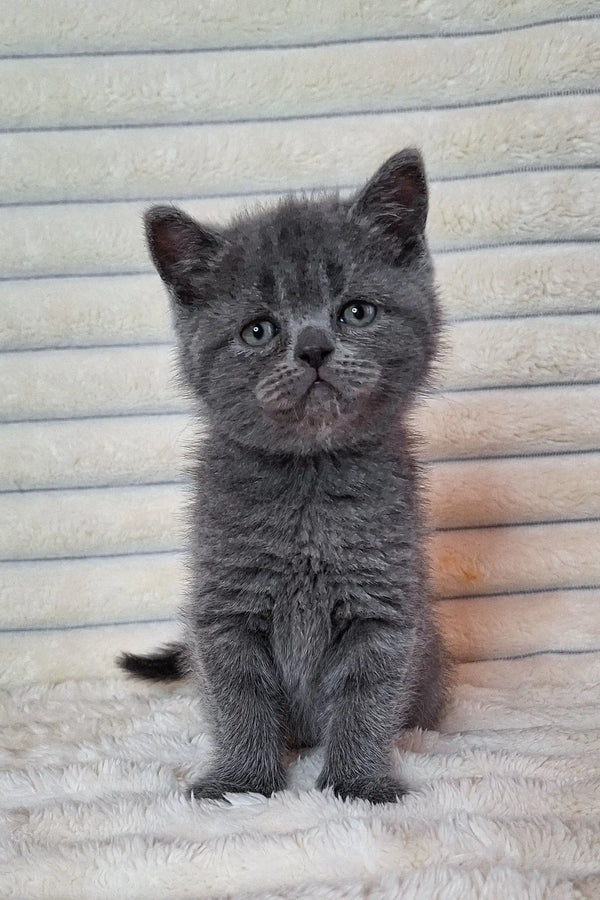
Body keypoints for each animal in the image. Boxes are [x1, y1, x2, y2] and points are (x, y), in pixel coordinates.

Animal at [119, 149, 450, 808]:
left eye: (356, 311)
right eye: (258, 330)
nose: (315, 349)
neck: (309, 484)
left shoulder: (384, 603)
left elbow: (368, 699)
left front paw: (359, 784)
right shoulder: (226, 604)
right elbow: (239, 697)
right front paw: (241, 784)